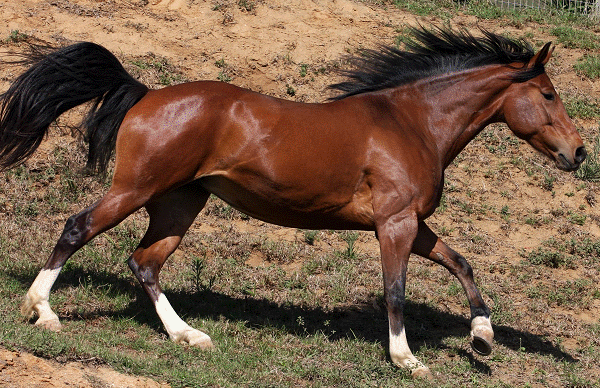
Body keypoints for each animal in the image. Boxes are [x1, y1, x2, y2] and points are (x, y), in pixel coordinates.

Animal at [0, 26, 584, 376]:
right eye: (549, 94)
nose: (578, 153)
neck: (411, 123)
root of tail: (145, 93)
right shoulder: (394, 225)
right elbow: (395, 290)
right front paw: (405, 358)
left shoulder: (411, 223)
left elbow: (461, 263)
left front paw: (482, 336)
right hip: (136, 189)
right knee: (78, 228)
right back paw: (41, 310)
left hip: (180, 203)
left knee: (144, 263)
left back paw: (189, 336)